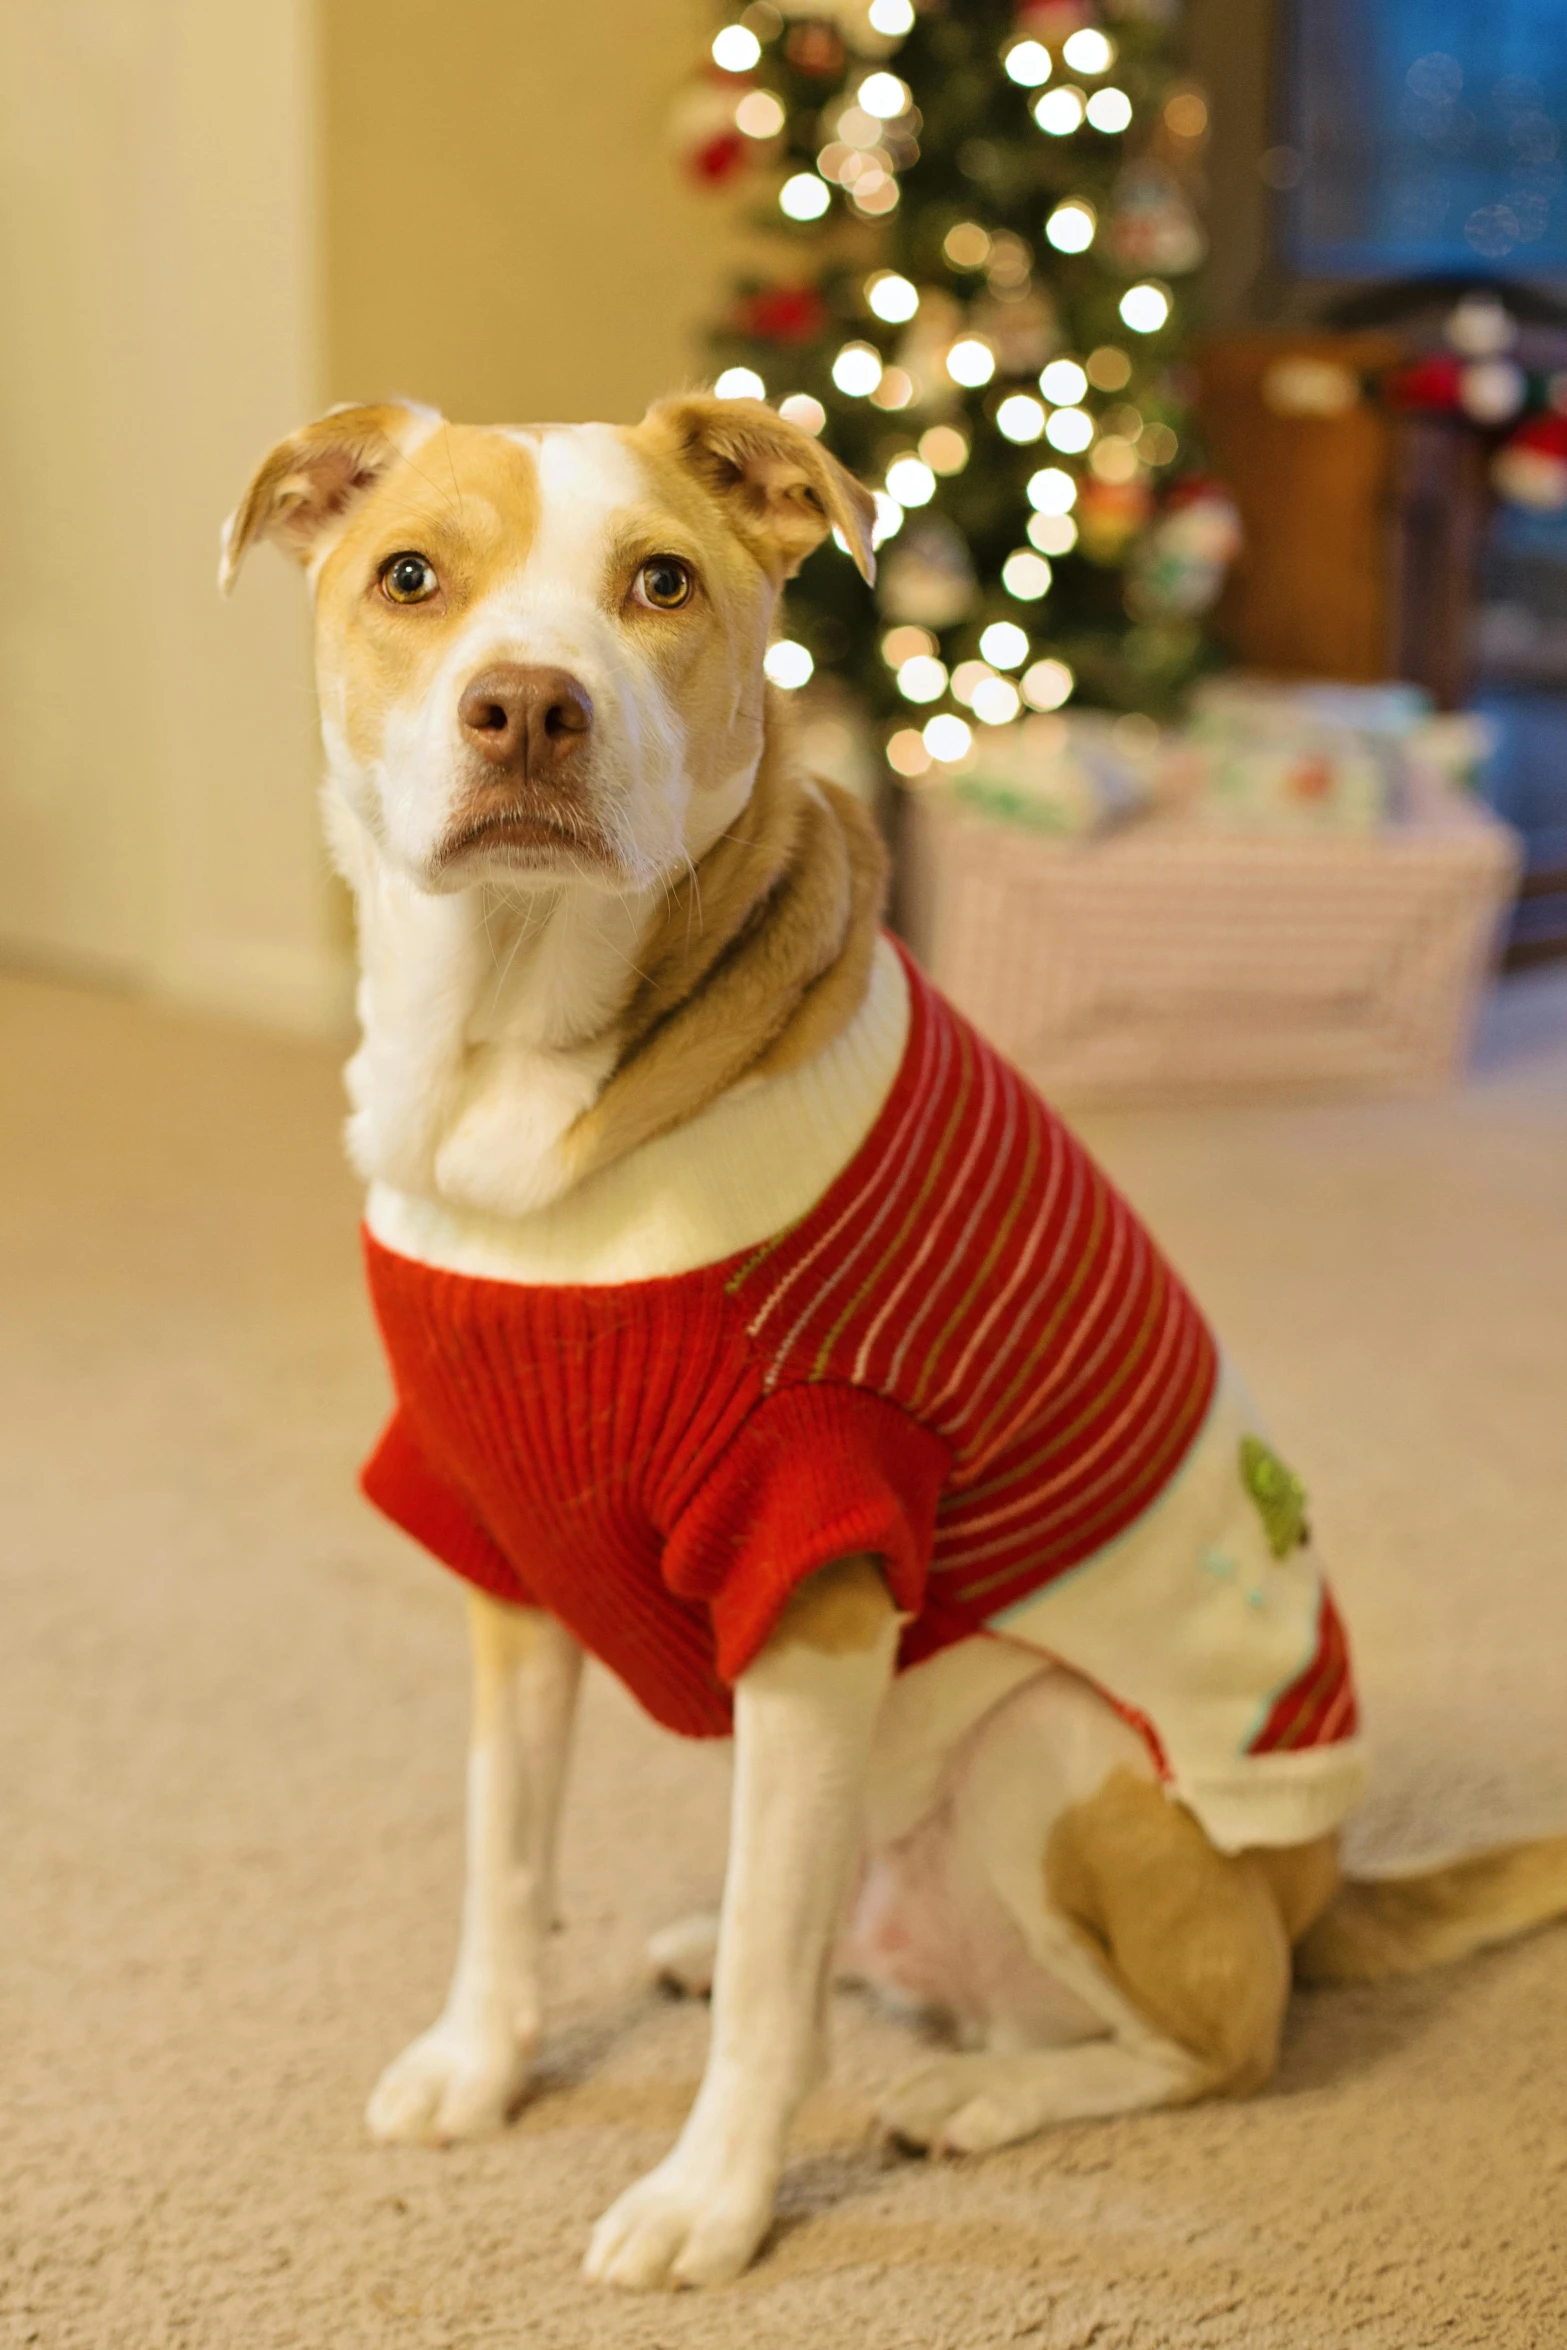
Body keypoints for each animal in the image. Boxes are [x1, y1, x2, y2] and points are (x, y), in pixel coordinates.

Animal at [220, 394, 1567, 2284]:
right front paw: (481, 2065)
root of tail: (1318, 1891)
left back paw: (977, 2093)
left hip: (1056, 1759)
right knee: (831, 1921)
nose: (528, 708)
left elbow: (767, 2003)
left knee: (1215, 2037)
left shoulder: (819, 1580)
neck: (514, 1079)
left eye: (659, 584)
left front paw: (710, 2201)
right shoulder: (503, 1554)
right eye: (410, 577)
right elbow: (504, 1861)